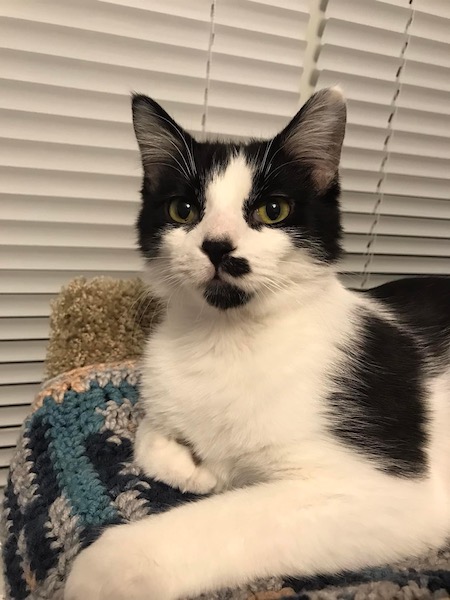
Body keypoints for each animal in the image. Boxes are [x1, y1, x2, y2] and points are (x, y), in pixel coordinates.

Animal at [64, 88, 450, 600]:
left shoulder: (390, 494)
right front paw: (197, 468)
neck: (227, 339)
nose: (217, 245)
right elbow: (149, 435)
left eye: (273, 210)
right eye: (183, 211)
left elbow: (229, 519)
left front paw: (103, 570)